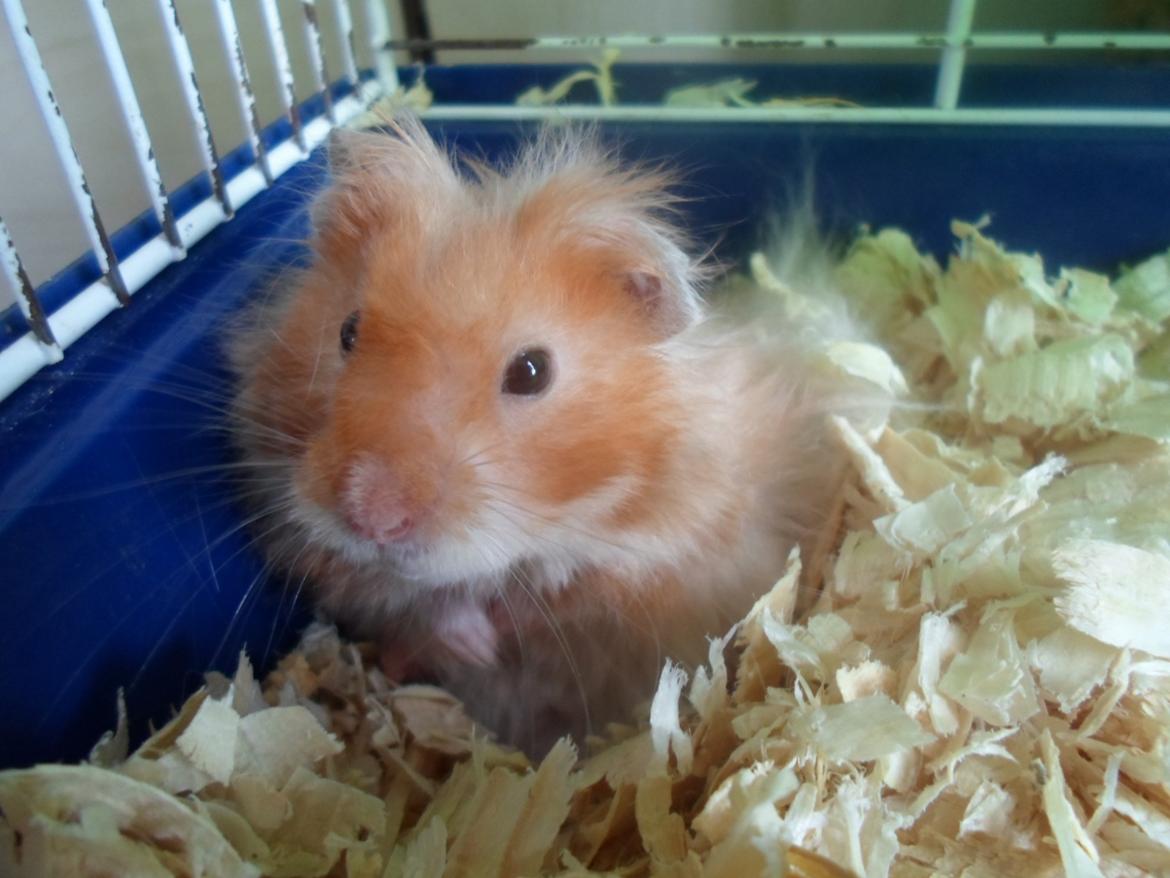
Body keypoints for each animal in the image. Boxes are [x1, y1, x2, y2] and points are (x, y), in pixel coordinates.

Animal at [229, 116, 888, 756]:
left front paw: (495, 630)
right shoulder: (308, 533)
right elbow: (411, 598)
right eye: (347, 331)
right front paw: (471, 641)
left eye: (531, 371)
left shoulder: (672, 544)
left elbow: (564, 596)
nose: (373, 519)